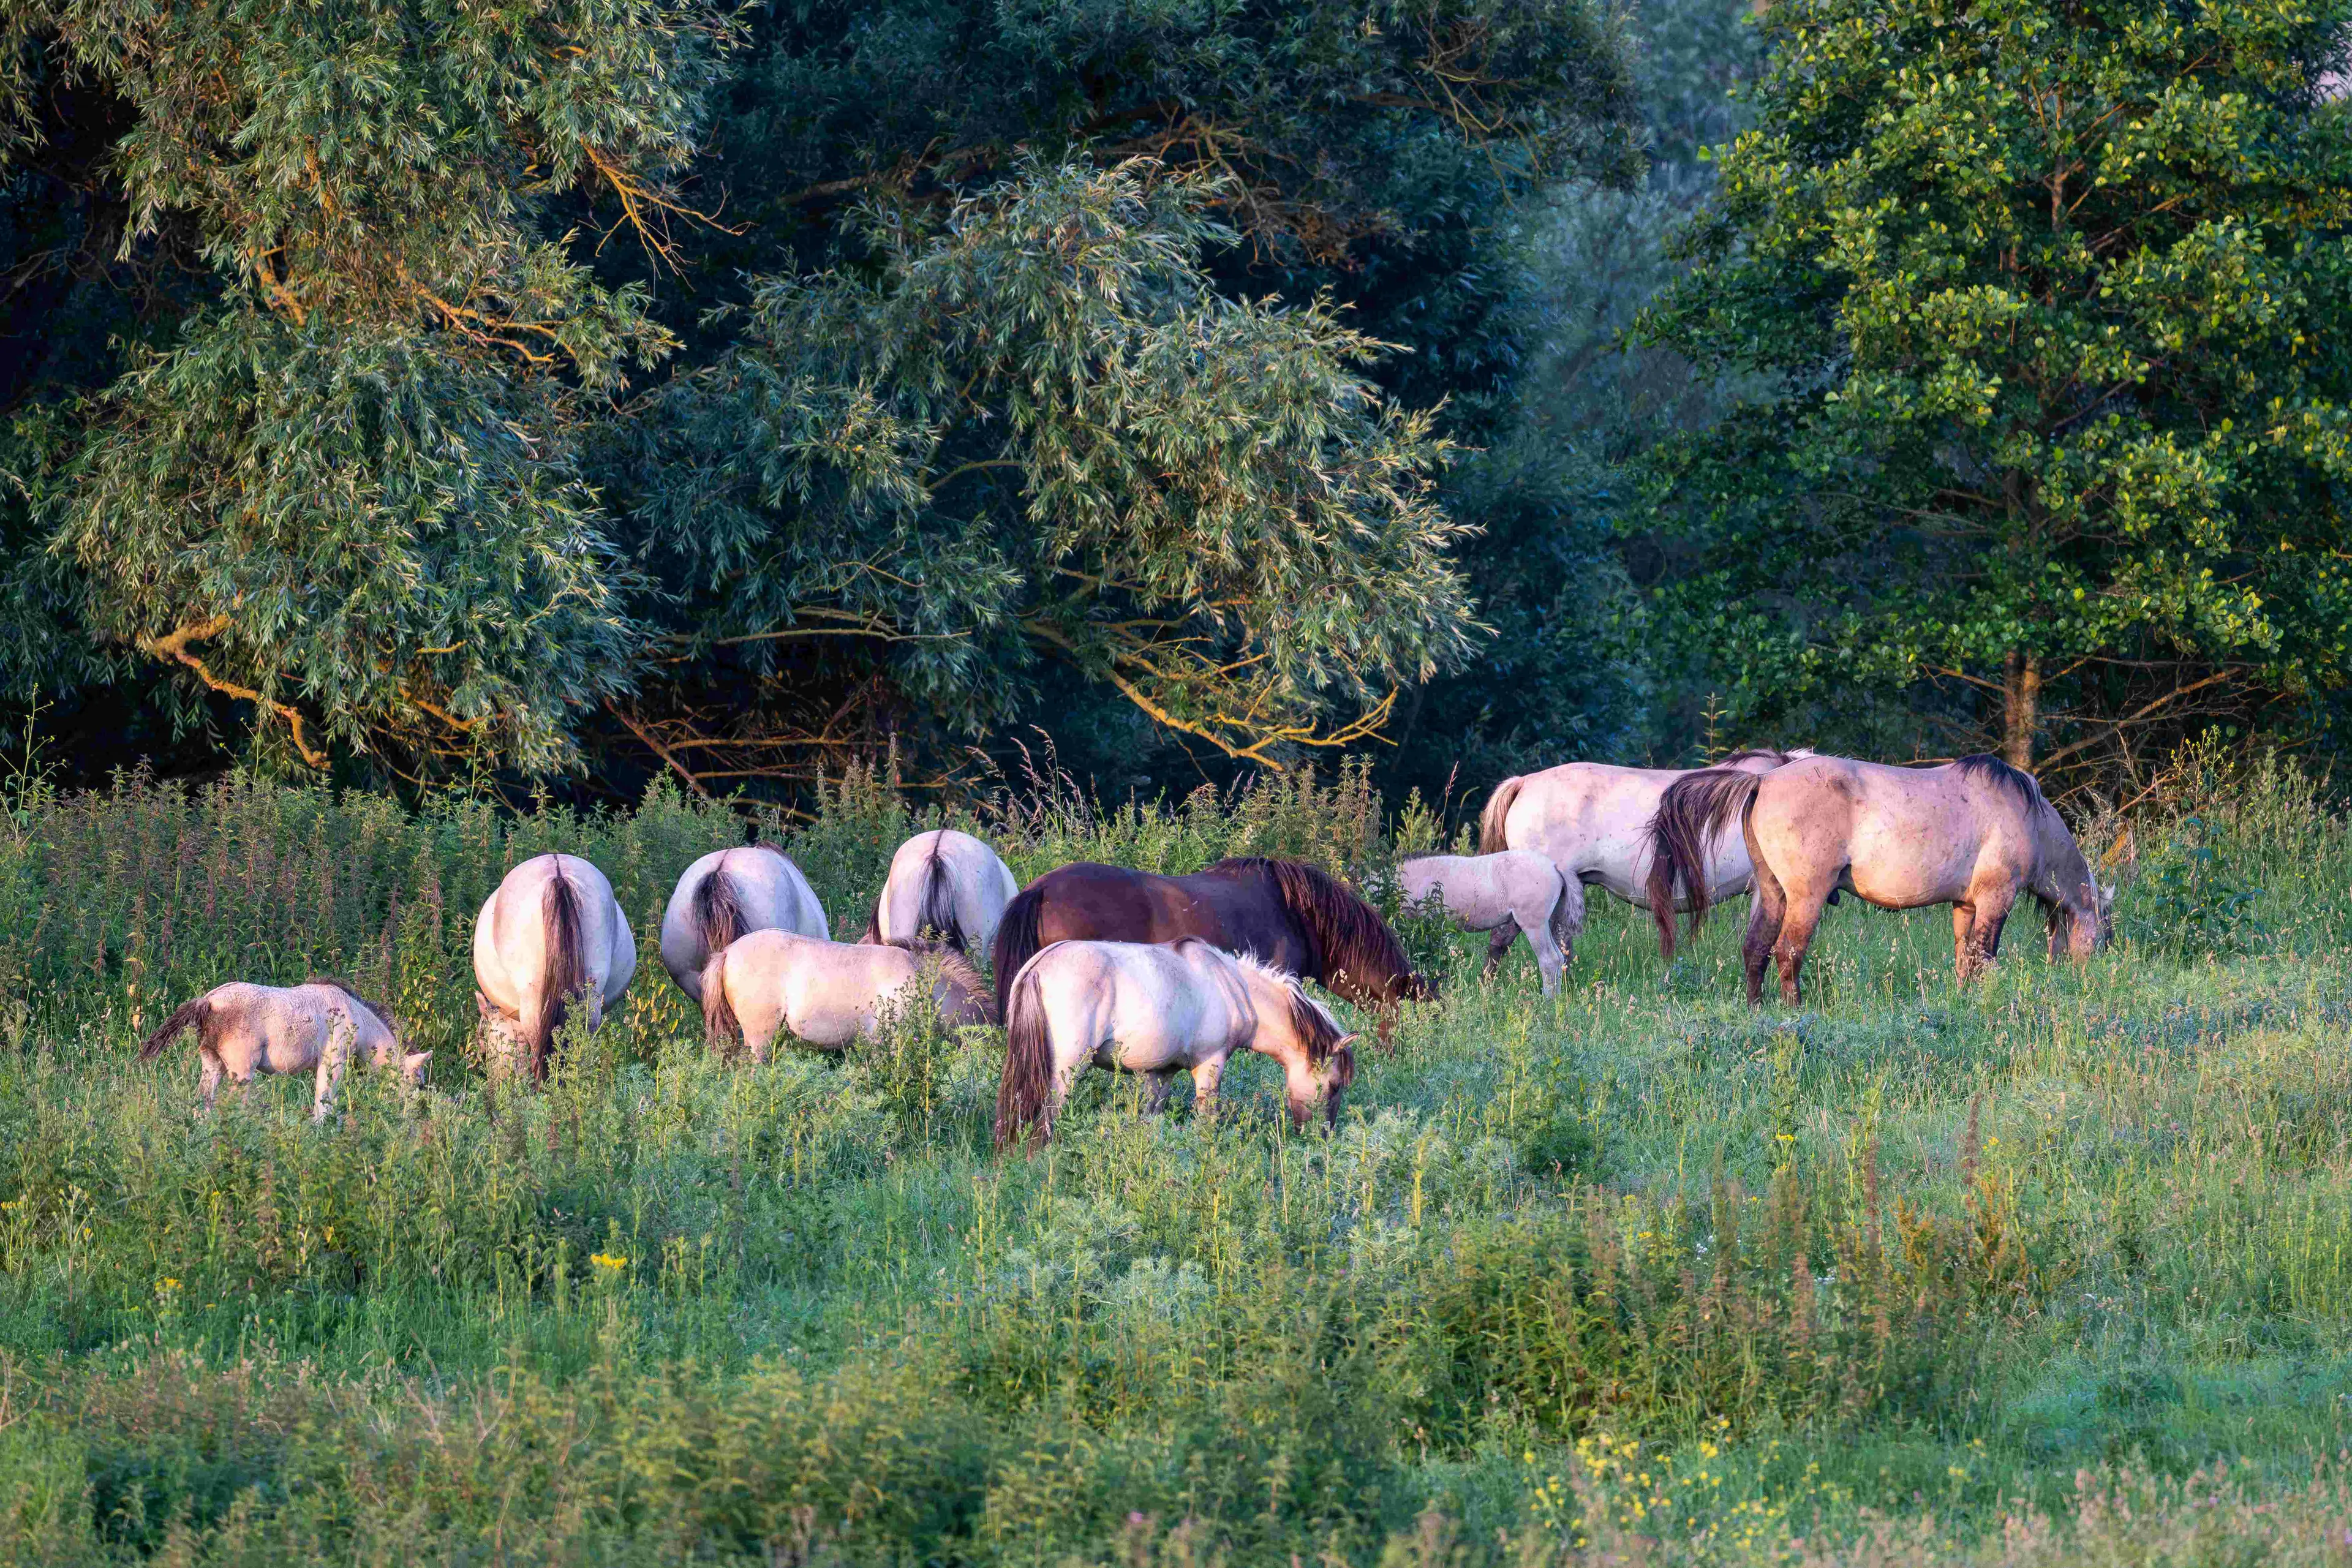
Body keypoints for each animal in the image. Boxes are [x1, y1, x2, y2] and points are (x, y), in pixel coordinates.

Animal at [138, 978, 430, 1119]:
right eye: (417, 1081)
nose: (414, 1113)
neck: (354, 1016)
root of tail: (207, 1002)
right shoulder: (332, 1064)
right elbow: (324, 1105)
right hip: (242, 1072)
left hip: (212, 1065)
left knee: (203, 1106)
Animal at [993, 937, 1357, 1148]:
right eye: (1334, 1085)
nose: (1323, 1138)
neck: (1232, 986)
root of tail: (1037, 968)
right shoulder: (1210, 1065)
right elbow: (1207, 1120)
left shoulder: (1160, 1073)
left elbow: (1150, 1120)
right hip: (1064, 1072)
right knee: (1045, 1122)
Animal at [1389, 851, 1574, 996]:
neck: (1417, 879)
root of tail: (1555, 867)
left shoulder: (1436, 923)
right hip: (1544, 924)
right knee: (1559, 958)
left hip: (1534, 925)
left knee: (1549, 960)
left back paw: (1548, 1002)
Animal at [1645, 753, 2111, 1005]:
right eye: (2106, 934)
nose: (2091, 978)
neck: (2028, 814)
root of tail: (1763, 779)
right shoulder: (1996, 899)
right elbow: (1984, 955)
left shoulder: (1966, 905)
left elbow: (1965, 957)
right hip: (1805, 899)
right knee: (1787, 952)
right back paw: (1795, 1010)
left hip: (1773, 894)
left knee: (1756, 949)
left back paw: (1757, 1009)